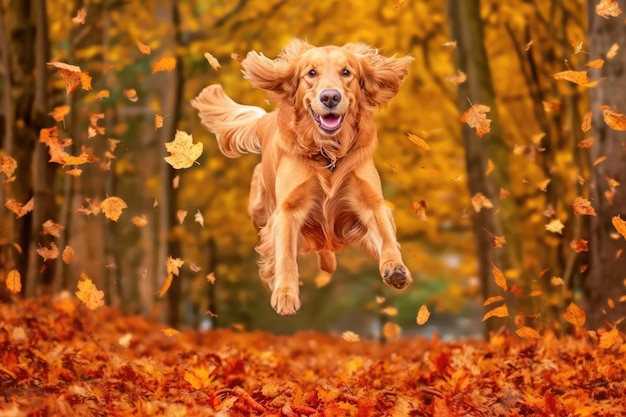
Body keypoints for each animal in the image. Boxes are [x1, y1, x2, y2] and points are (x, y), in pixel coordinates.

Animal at [193, 39, 412, 314]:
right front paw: (285, 295)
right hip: (259, 210)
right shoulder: (288, 210)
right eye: (311, 73)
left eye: (346, 72)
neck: (328, 154)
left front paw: (395, 268)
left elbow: (385, 235)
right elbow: (285, 255)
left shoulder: (370, 201)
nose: (330, 97)